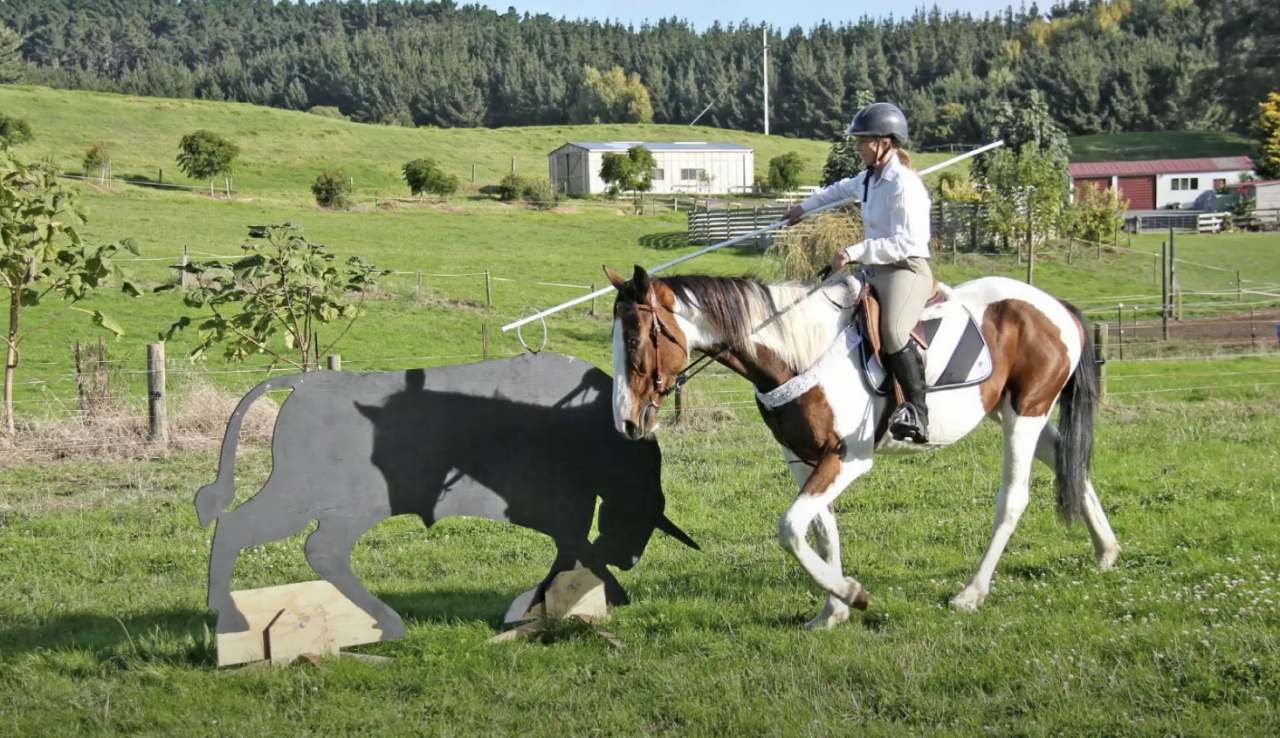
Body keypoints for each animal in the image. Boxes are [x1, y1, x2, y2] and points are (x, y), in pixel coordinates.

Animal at [604, 264, 1119, 629]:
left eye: (635, 339)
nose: (626, 422)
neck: (798, 353)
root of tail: (1054, 306)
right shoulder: (802, 458)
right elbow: (820, 530)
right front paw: (832, 611)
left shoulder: (847, 458)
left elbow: (790, 528)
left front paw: (851, 594)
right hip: (1013, 412)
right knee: (1069, 461)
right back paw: (1106, 551)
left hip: (1024, 414)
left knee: (1013, 498)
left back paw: (971, 592)